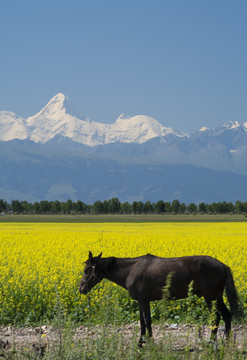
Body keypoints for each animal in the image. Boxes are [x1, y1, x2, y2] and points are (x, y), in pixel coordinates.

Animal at [80, 252, 242, 344]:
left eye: (87, 270)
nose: (81, 288)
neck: (131, 270)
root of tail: (222, 265)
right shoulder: (141, 302)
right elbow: (142, 323)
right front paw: (141, 342)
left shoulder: (144, 301)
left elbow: (147, 321)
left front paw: (149, 343)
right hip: (217, 297)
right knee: (226, 315)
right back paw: (226, 341)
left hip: (210, 298)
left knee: (216, 317)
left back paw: (211, 341)